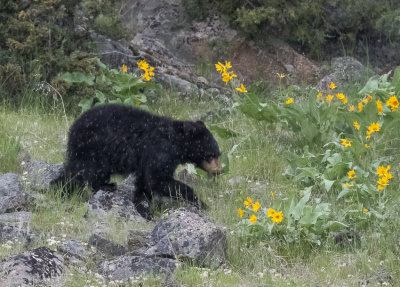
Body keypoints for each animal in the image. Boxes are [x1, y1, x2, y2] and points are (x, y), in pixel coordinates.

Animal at [60, 104, 222, 217]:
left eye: (218, 154)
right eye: (211, 155)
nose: (219, 171)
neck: (175, 141)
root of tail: (73, 128)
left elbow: (145, 182)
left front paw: (143, 207)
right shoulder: (159, 152)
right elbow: (157, 179)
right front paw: (200, 202)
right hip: (93, 149)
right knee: (82, 171)